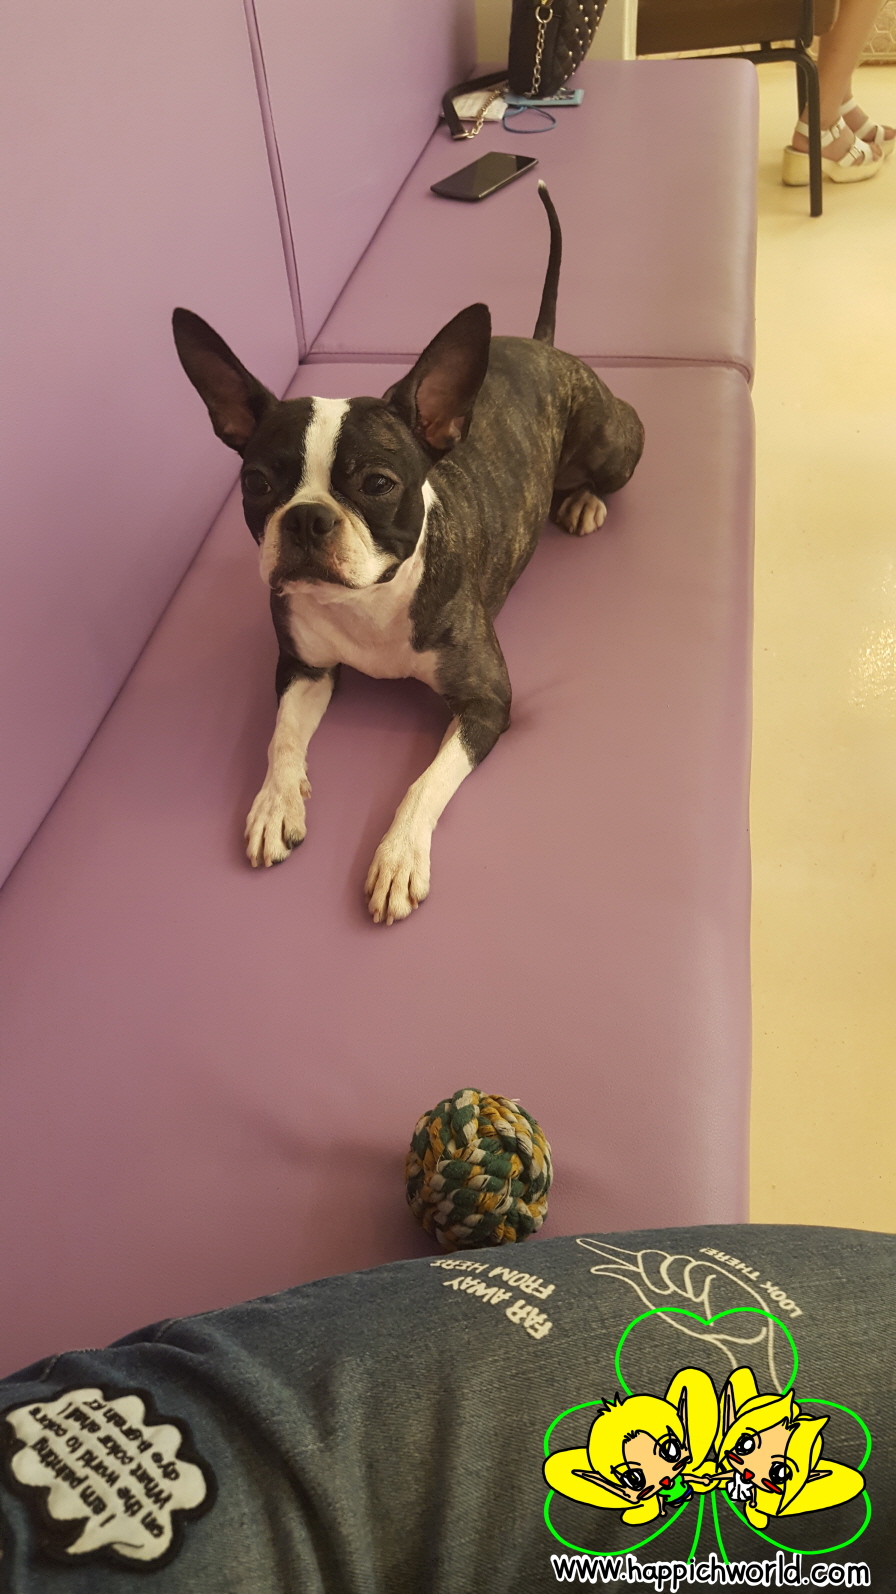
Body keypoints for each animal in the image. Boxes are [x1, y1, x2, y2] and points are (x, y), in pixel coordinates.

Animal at [172, 183, 644, 925]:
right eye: (257, 484)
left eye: (377, 484)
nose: (305, 518)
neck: (367, 602)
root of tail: (543, 346)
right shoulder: (303, 667)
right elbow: (282, 735)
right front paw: (277, 800)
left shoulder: (486, 702)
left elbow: (426, 784)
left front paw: (397, 857)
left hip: (612, 442)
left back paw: (584, 500)